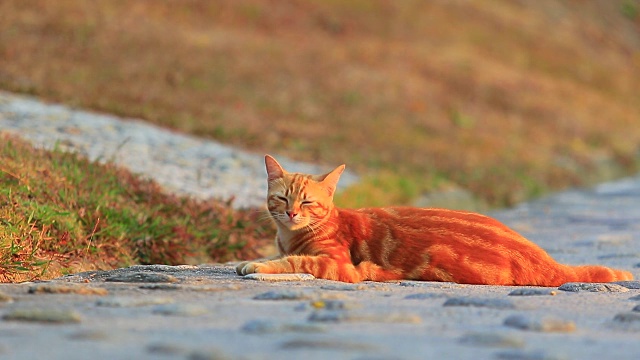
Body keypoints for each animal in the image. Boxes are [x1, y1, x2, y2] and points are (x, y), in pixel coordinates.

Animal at [236, 156, 636, 286]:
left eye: (307, 201)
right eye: (282, 198)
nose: (292, 213)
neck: (290, 235)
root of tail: (547, 260)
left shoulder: (336, 263)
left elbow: (292, 261)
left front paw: (254, 264)